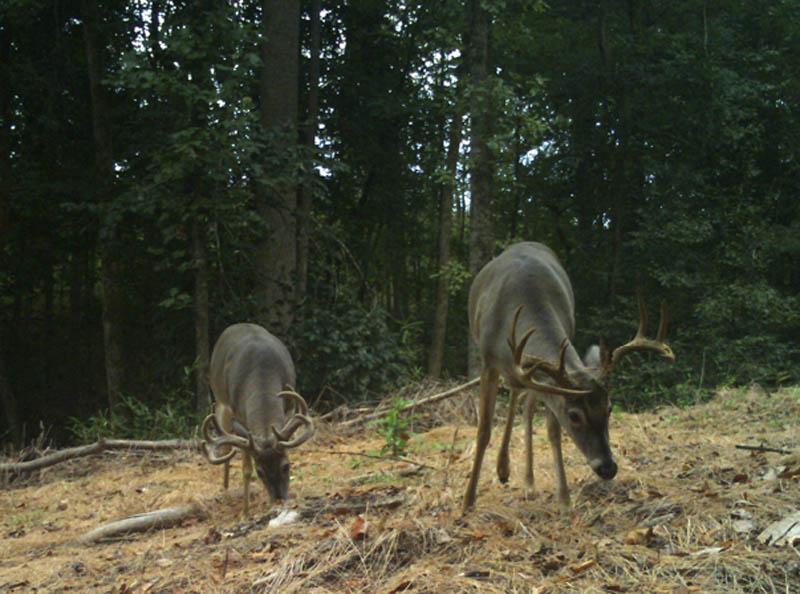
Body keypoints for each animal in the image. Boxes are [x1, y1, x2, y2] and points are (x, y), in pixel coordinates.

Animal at [200, 320, 312, 512]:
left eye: (286, 466)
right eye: (260, 472)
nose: (279, 499)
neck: (262, 371)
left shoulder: (289, 408)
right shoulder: (240, 416)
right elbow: (245, 468)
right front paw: (245, 512)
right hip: (220, 399)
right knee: (225, 448)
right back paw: (225, 488)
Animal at [462, 243, 676, 512]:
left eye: (609, 409)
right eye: (574, 416)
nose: (608, 468)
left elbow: (553, 431)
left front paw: (563, 499)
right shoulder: (487, 361)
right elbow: (483, 431)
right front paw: (468, 501)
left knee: (524, 403)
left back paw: (522, 479)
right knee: (516, 396)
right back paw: (503, 470)